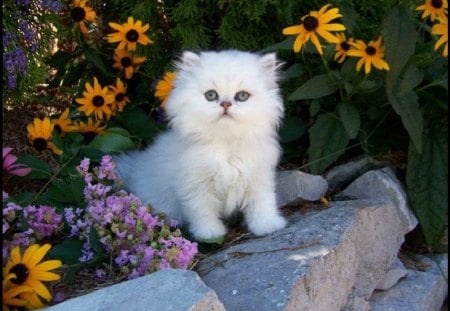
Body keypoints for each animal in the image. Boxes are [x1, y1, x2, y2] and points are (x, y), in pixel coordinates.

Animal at [114, 48, 286, 240]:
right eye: (211, 95)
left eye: (242, 96)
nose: (225, 104)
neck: (225, 144)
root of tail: (133, 169)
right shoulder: (196, 186)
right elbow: (203, 213)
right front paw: (210, 234)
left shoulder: (258, 177)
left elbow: (262, 204)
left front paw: (268, 225)